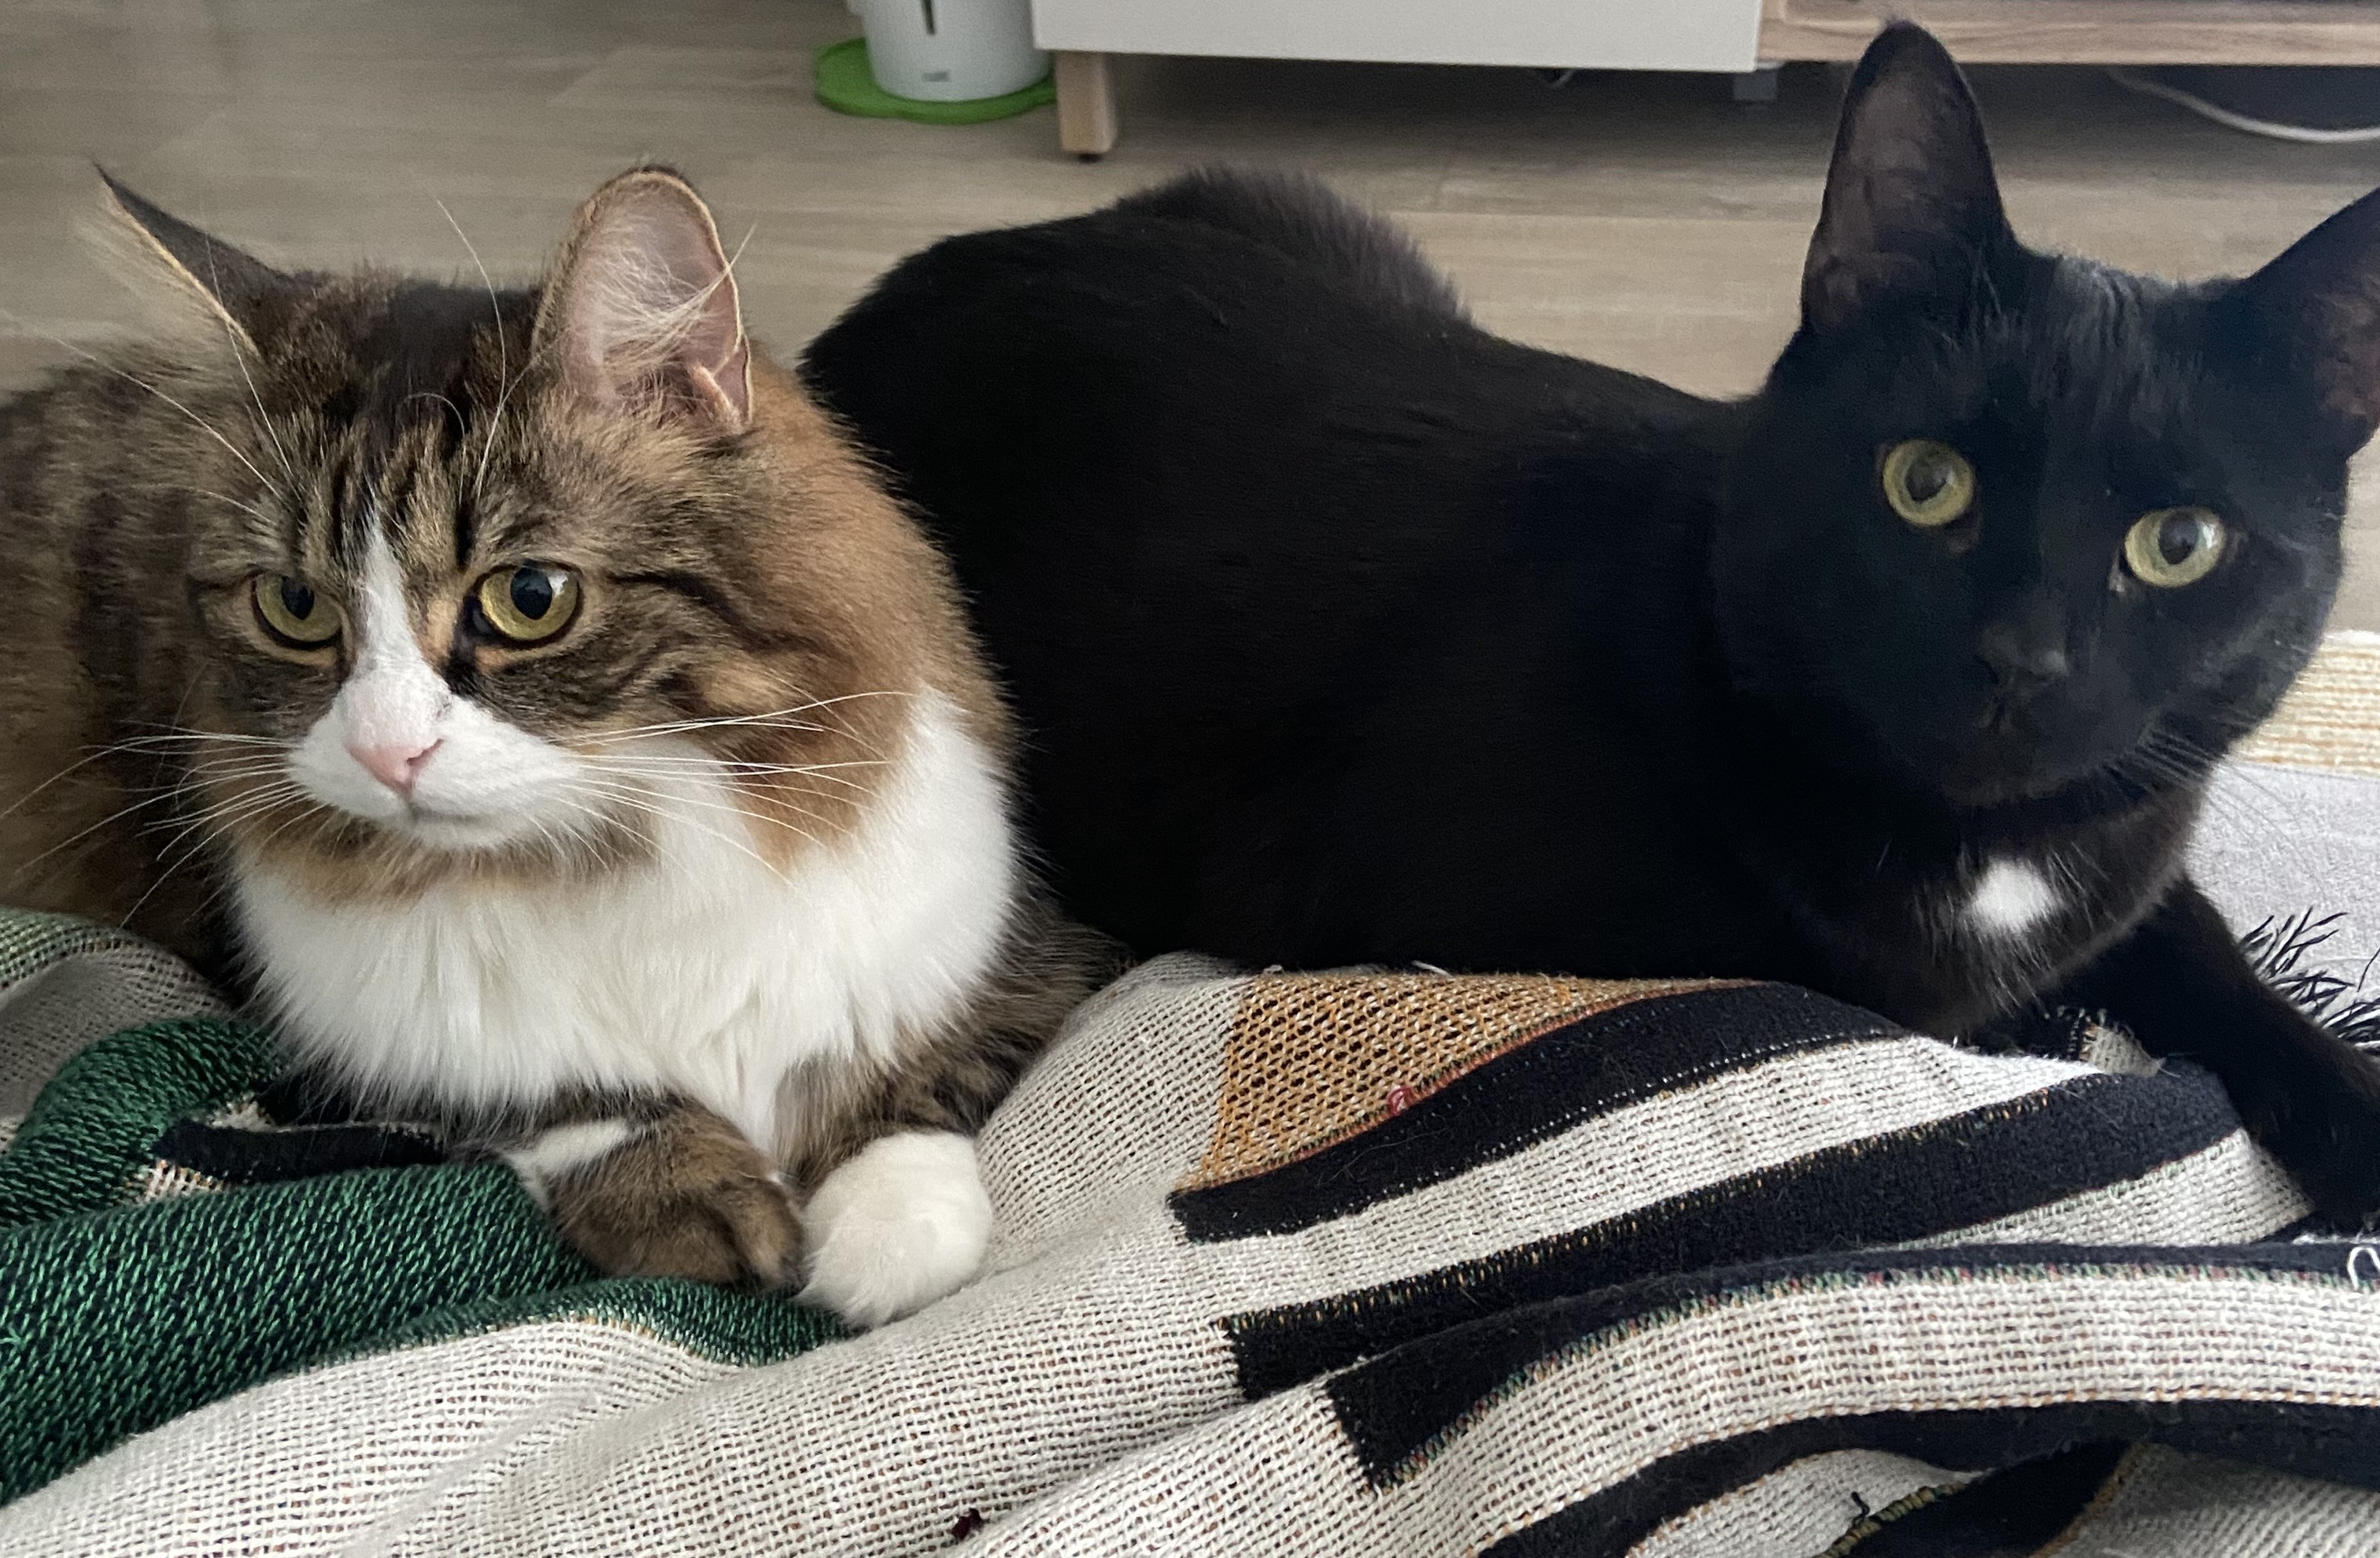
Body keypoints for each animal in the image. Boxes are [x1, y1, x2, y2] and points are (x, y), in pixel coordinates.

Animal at [0, 168, 1099, 1334]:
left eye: (530, 596)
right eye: (296, 605)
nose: (386, 754)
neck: (614, 848)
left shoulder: (1016, 949)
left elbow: (909, 1087)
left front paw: (886, 1232)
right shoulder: (392, 1049)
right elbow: (566, 1099)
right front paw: (686, 1192)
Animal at [809, 21, 2380, 1219]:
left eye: (2179, 545)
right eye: (1924, 480)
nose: (2020, 659)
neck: (1987, 853)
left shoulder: (2134, 846)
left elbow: (2203, 947)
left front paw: (2337, 1100)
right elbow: (1876, 995)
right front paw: (2042, 1022)